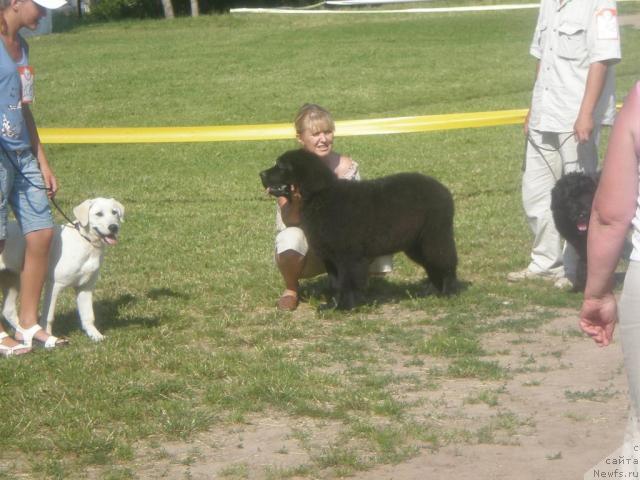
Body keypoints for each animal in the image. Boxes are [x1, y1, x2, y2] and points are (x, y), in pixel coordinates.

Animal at [0, 198, 124, 342]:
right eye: (99, 214)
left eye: (114, 212)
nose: (114, 227)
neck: (86, 243)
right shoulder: (54, 285)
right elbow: (48, 316)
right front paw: (48, 336)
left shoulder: (85, 287)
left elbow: (88, 315)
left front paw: (95, 335)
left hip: (13, 280)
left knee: (8, 310)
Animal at [258, 148, 458, 310]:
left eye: (281, 166)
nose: (261, 174)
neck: (320, 197)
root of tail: (443, 190)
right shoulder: (330, 257)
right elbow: (336, 284)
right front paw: (332, 305)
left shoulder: (348, 256)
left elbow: (347, 282)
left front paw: (347, 306)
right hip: (416, 244)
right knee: (432, 265)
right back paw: (432, 291)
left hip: (435, 236)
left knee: (446, 262)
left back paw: (448, 292)